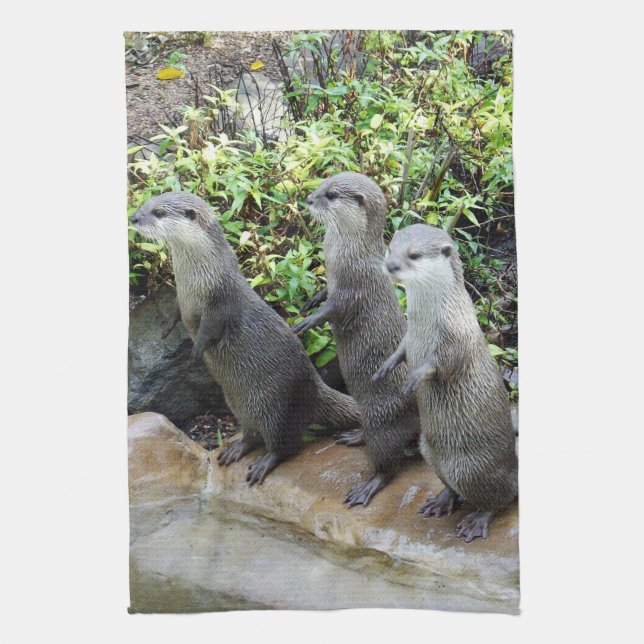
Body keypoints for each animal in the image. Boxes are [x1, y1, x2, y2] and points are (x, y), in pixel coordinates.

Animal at [131, 192, 361, 485]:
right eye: (146, 204)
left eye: (158, 213)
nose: (134, 218)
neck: (196, 281)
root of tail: (314, 387)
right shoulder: (181, 296)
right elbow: (175, 311)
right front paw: (166, 329)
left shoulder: (221, 302)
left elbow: (209, 329)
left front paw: (196, 351)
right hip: (238, 404)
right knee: (252, 433)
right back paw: (237, 448)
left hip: (279, 410)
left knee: (286, 445)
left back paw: (264, 463)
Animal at [294, 172, 421, 507]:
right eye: (323, 184)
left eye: (331, 195)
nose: (309, 199)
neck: (346, 254)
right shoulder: (334, 280)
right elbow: (325, 294)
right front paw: (312, 300)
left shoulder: (353, 289)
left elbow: (334, 309)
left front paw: (308, 322)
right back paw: (354, 436)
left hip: (383, 420)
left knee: (390, 463)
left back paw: (369, 485)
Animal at [373, 223, 518, 542]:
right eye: (390, 249)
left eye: (414, 255)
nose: (391, 265)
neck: (428, 323)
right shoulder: (409, 336)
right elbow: (401, 351)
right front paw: (385, 367)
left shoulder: (456, 339)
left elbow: (441, 364)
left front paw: (414, 378)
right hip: (430, 452)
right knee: (452, 484)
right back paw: (441, 501)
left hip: (471, 468)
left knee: (503, 498)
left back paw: (478, 520)